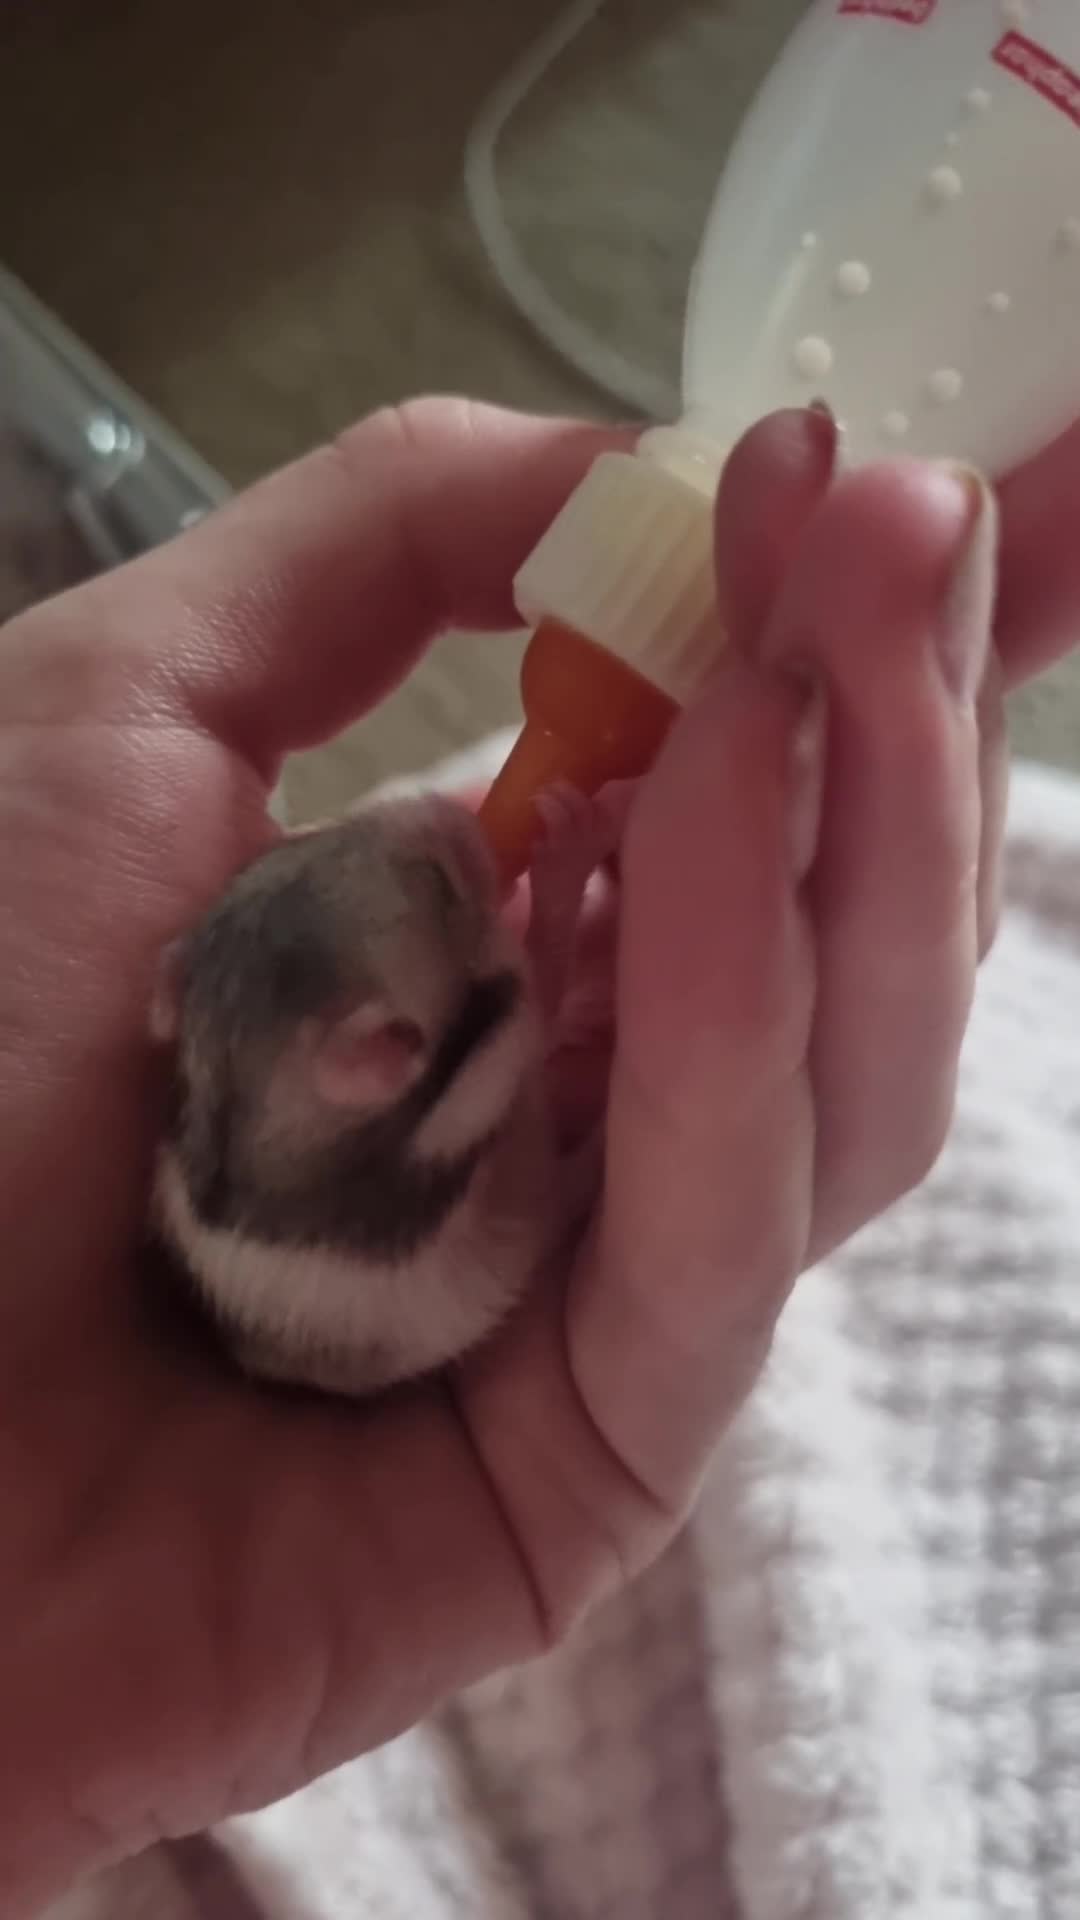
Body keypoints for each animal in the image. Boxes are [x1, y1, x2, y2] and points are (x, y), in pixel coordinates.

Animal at [146, 789, 594, 1398]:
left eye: (309, 840)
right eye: (439, 881)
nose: (440, 803)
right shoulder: (484, 1069)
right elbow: (540, 985)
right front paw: (567, 850)